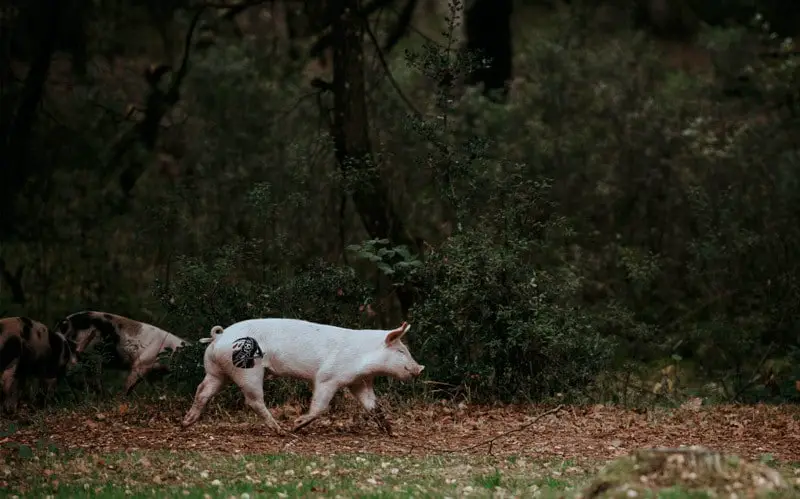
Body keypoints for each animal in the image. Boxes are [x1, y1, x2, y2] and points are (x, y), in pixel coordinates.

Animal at [183, 320, 424, 434]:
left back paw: (186, 422)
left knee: (202, 390)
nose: (420, 368)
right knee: (253, 400)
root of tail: (220, 336)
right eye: (400, 351)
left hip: (216, 371)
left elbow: (373, 406)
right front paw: (296, 424)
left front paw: (390, 431)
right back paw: (281, 430)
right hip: (248, 371)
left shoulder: (359, 382)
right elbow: (320, 406)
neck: (363, 357)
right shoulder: (328, 377)